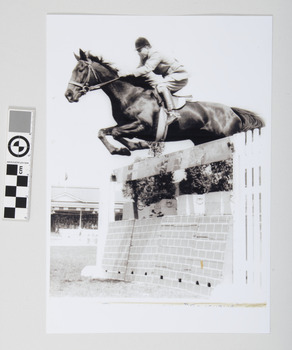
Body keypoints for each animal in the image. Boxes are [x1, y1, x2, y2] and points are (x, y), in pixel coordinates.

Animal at [65, 49, 264, 156]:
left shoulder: (142, 126)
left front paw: (136, 146)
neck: (130, 94)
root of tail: (231, 111)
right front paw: (124, 150)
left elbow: (115, 132)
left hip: (226, 137)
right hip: (202, 141)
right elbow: (104, 132)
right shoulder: (127, 125)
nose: (68, 94)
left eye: (81, 69)